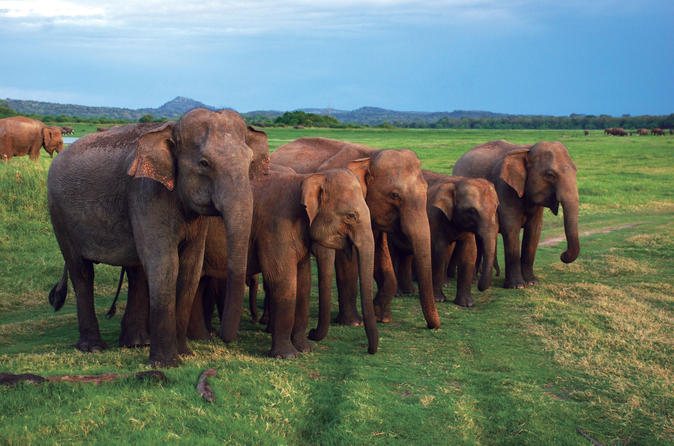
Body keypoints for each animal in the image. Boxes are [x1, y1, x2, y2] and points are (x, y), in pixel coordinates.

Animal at [46, 108, 270, 366]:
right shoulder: (146, 192)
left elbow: (190, 268)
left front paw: (185, 354)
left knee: (135, 272)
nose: (224, 338)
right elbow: (165, 265)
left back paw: (135, 343)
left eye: (250, 162)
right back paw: (93, 348)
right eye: (204, 163)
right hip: (59, 214)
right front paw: (167, 363)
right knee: (82, 272)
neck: (171, 129)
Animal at [188, 163, 378, 358]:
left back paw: (202, 338)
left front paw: (305, 348)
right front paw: (287, 355)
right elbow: (282, 280)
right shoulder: (276, 226)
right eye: (351, 216)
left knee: (197, 282)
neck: (306, 179)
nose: (370, 351)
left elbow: (304, 282)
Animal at [270, 138, 440, 332]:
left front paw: (380, 316)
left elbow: (379, 253)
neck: (371, 155)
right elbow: (347, 259)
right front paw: (354, 322)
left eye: (426, 189)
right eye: (395, 195)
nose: (432, 327)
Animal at [388, 172, 498, 308]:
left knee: (406, 256)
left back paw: (409, 291)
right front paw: (439, 300)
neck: (458, 182)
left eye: (496, 207)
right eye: (472, 211)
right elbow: (438, 252)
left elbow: (469, 252)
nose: (479, 286)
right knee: (392, 253)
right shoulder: (434, 217)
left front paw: (467, 304)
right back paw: (398, 294)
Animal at [454, 139, 580, 290]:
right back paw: (473, 281)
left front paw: (532, 282)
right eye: (550, 175)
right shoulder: (504, 188)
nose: (563, 255)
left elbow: (534, 230)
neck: (528, 149)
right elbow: (511, 228)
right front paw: (517, 286)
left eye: (576, 171)